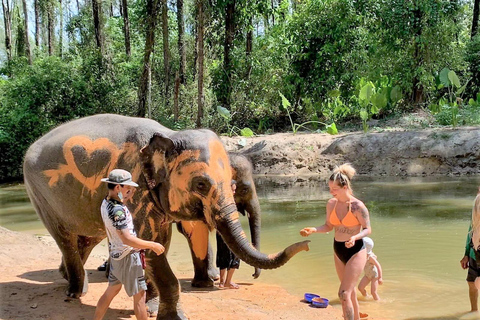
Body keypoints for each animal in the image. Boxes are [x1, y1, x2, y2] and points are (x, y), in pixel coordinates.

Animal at [22, 114, 310, 318]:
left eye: (232, 184)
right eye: (201, 184)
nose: (306, 242)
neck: (169, 136)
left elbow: (169, 240)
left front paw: (152, 306)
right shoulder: (136, 186)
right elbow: (151, 245)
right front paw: (175, 316)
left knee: (87, 238)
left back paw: (69, 280)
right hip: (38, 192)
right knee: (65, 238)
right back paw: (74, 294)